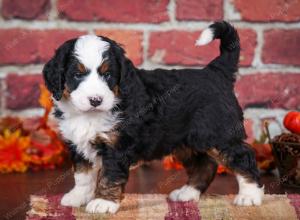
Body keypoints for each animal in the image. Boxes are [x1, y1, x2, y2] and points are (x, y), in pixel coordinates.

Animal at [43, 21, 264, 214]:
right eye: (77, 75)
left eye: (108, 75)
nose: (96, 100)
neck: (89, 115)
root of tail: (216, 72)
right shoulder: (77, 143)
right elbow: (82, 174)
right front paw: (78, 197)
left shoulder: (117, 146)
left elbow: (109, 175)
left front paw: (103, 203)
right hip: (185, 142)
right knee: (205, 164)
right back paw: (187, 193)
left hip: (219, 134)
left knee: (244, 157)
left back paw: (250, 196)